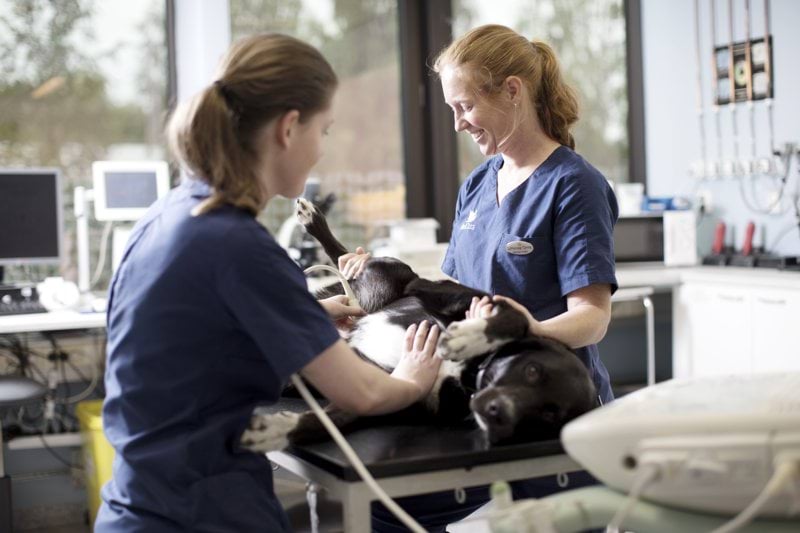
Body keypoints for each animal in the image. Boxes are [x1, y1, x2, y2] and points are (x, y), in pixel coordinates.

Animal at [241, 198, 596, 448]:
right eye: (532, 370)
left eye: (549, 415)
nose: (499, 414)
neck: (467, 372)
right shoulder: (444, 291)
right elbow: (518, 318)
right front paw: (469, 335)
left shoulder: (379, 391)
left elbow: (323, 424)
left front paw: (275, 430)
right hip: (391, 274)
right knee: (347, 258)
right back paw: (313, 220)